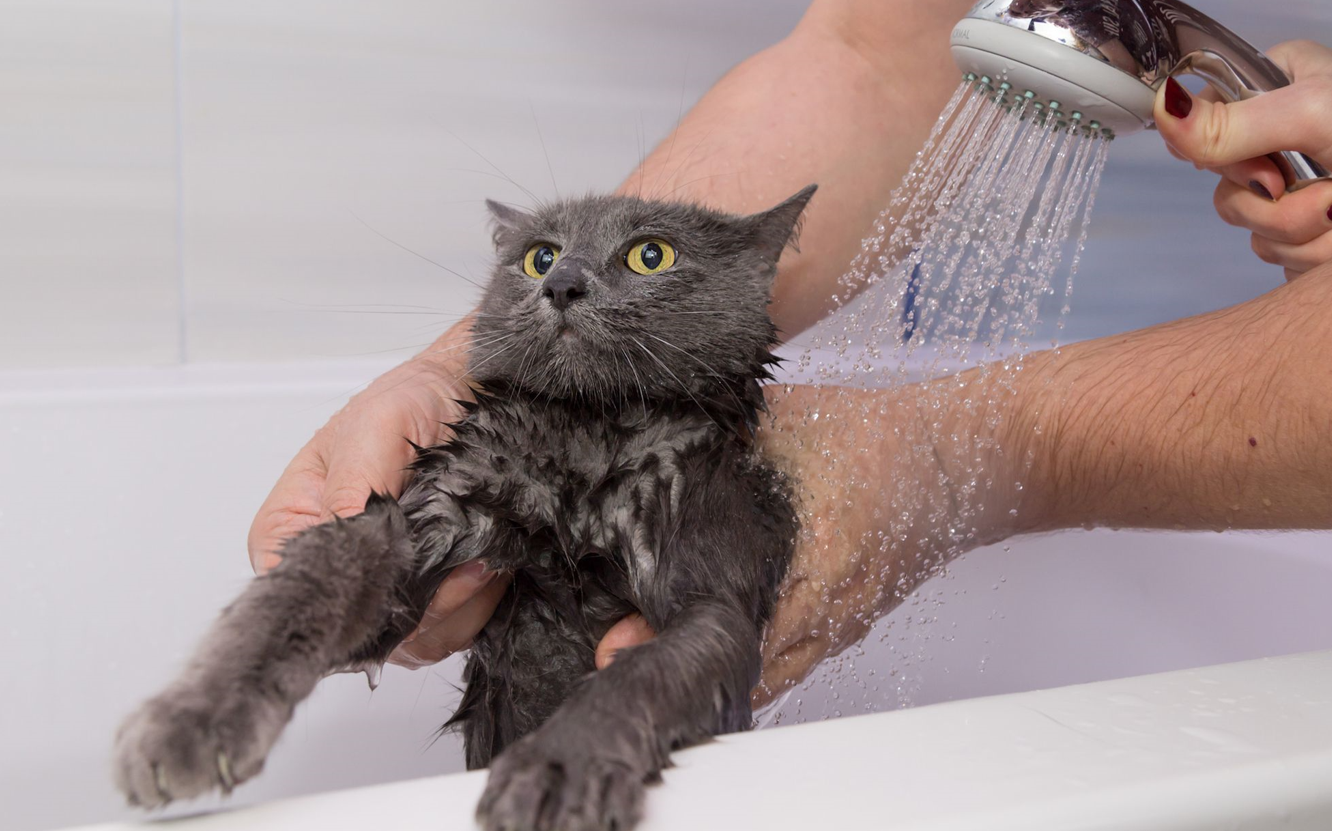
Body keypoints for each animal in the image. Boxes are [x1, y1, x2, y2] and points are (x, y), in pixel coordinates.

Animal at [111, 183, 809, 831]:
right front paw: (192, 721)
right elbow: (304, 586)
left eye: (650, 254)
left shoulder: (711, 578)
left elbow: (641, 672)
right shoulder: (439, 504)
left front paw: (561, 762)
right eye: (539, 256)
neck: (589, 437)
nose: (561, 283)